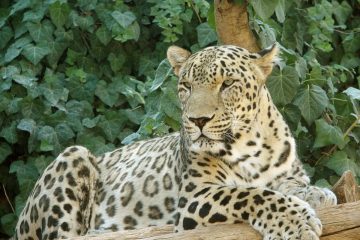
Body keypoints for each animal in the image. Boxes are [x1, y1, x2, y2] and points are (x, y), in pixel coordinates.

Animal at [14, 44, 336, 239]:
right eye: (186, 86)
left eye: (227, 84)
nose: (198, 121)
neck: (251, 145)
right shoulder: (195, 196)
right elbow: (252, 194)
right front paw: (297, 223)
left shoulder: (287, 175)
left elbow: (288, 186)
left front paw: (318, 194)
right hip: (73, 153)